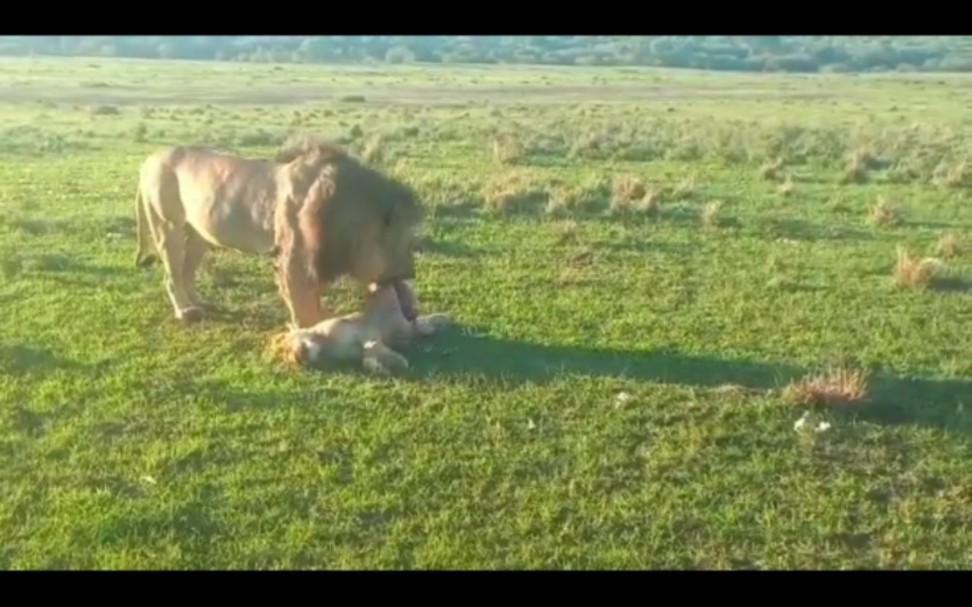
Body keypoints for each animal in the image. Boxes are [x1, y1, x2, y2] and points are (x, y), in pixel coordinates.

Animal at [133, 140, 422, 328]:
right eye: (407, 242)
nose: (410, 273)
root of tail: (150, 159)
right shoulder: (295, 250)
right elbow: (300, 294)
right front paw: (311, 328)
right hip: (168, 226)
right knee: (172, 274)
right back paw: (186, 310)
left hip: (199, 234)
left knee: (186, 270)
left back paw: (200, 301)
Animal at [270, 278, 452, 372]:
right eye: (286, 355)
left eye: (287, 347)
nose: (298, 358)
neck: (324, 343)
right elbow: (368, 359)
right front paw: (382, 367)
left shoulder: (362, 330)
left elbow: (371, 346)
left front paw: (398, 362)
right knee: (416, 322)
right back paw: (435, 324)